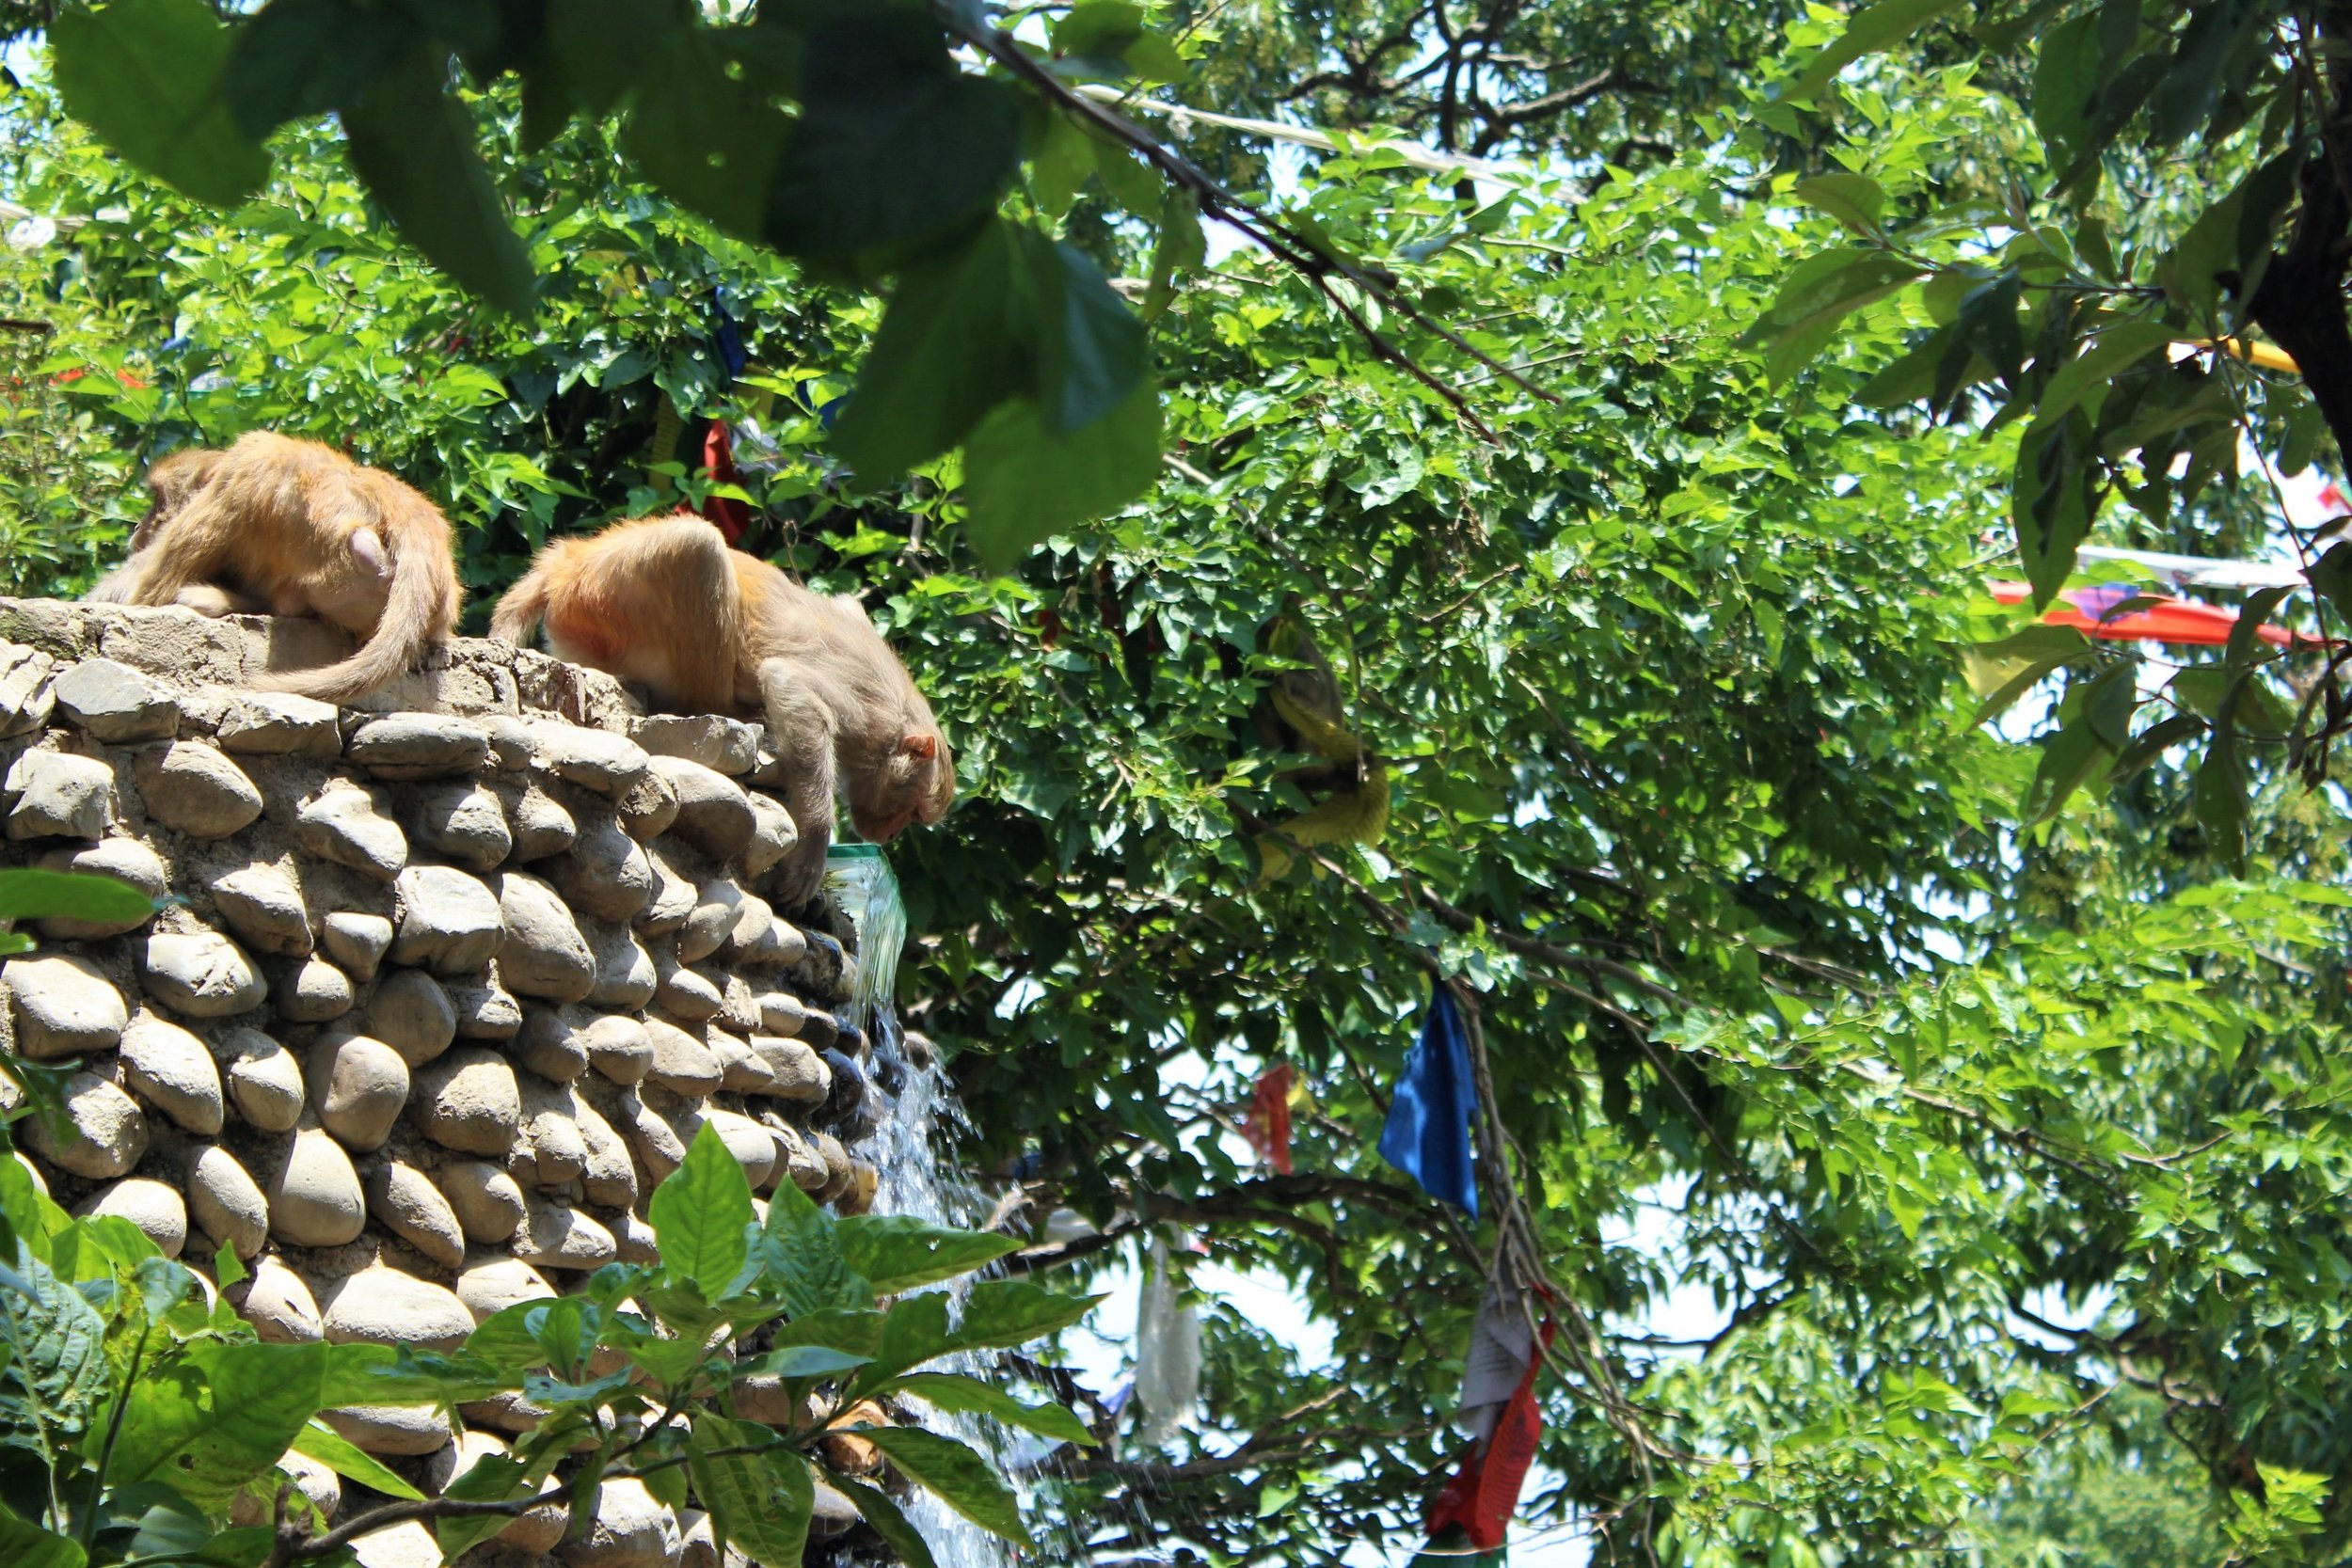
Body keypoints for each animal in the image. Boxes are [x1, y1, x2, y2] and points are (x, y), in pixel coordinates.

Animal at [489, 515, 955, 907]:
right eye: (915, 811)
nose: (890, 833)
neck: (899, 720)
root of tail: (568, 562)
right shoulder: (863, 717)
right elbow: (790, 685)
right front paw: (814, 844)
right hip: (602, 602)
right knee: (698, 547)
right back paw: (723, 712)